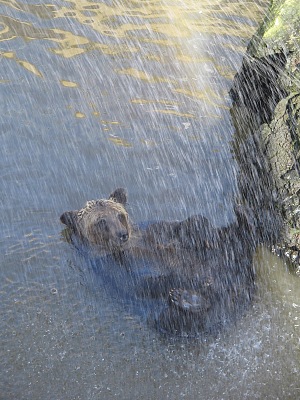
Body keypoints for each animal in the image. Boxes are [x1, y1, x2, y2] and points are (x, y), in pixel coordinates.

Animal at [60, 188, 255, 338]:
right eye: (101, 221)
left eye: (119, 215)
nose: (122, 234)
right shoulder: (109, 264)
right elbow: (140, 283)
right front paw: (190, 279)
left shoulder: (151, 231)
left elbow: (177, 228)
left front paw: (196, 227)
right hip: (164, 314)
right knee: (178, 320)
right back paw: (186, 298)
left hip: (228, 260)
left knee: (231, 240)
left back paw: (243, 214)